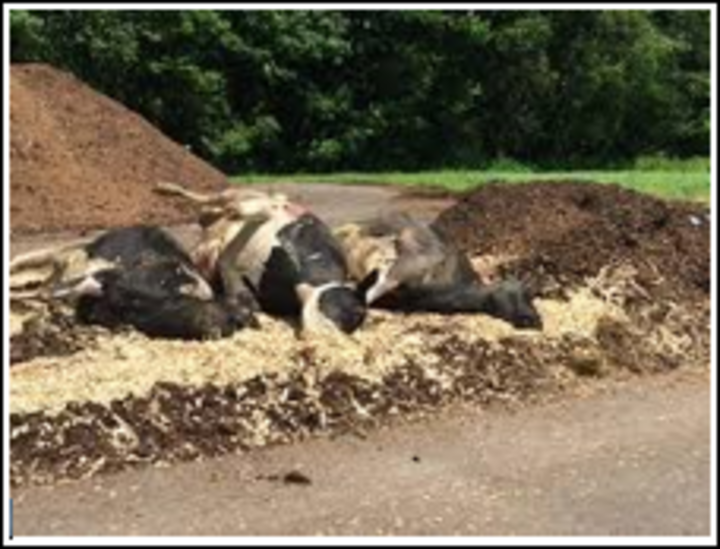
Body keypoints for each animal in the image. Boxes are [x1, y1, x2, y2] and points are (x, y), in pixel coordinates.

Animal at [158, 183, 372, 334]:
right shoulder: (269, 214)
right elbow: (258, 210)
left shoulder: (232, 272)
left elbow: (244, 295)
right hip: (234, 193)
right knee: (212, 200)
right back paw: (165, 188)